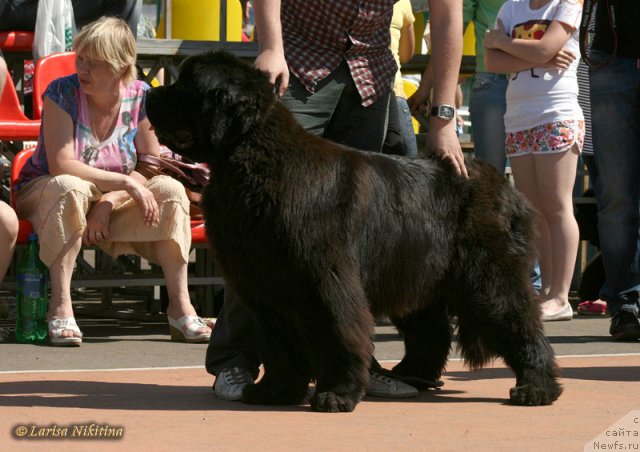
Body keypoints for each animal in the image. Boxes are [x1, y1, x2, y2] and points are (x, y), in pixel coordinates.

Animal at [146, 51, 560, 412]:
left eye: (185, 86)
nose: (150, 92)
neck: (253, 159)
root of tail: (502, 183)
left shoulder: (325, 283)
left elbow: (337, 335)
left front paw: (337, 395)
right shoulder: (268, 289)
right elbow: (279, 347)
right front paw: (275, 391)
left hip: (486, 278)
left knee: (518, 321)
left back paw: (536, 387)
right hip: (416, 272)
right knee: (432, 332)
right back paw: (412, 376)